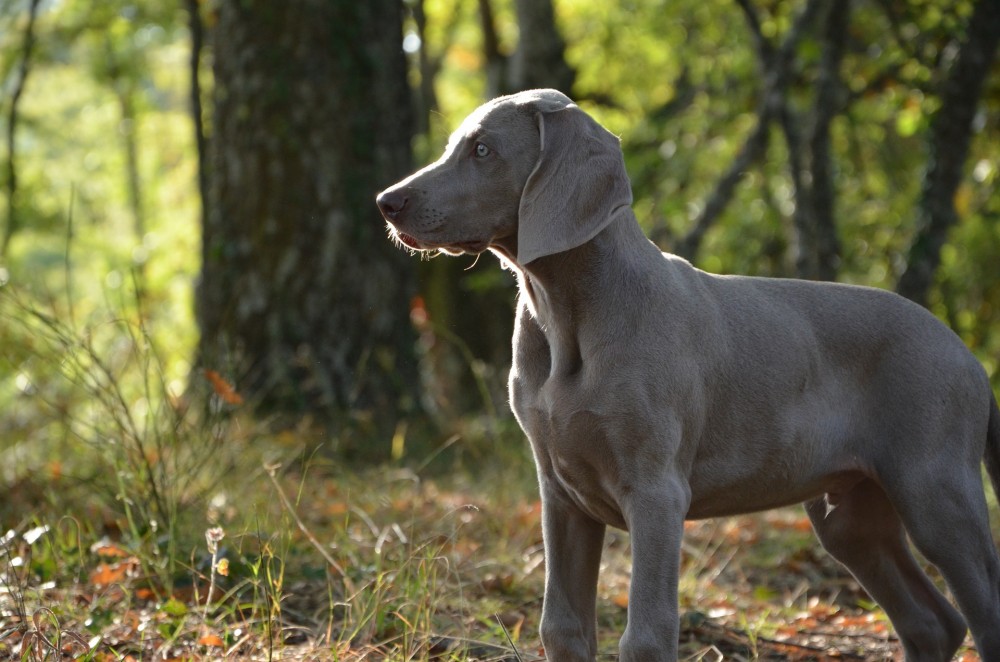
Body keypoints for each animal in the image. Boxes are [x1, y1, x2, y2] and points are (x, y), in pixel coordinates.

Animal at [376, 89, 1000, 662]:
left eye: (483, 150)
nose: (387, 201)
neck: (566, 313)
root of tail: (966, 353)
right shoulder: (559, 492)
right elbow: (562, 627)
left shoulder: (656, 491)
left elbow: (646, 635)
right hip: (850, 513)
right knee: (933, 621)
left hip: (935, 488)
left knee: (979, 611)